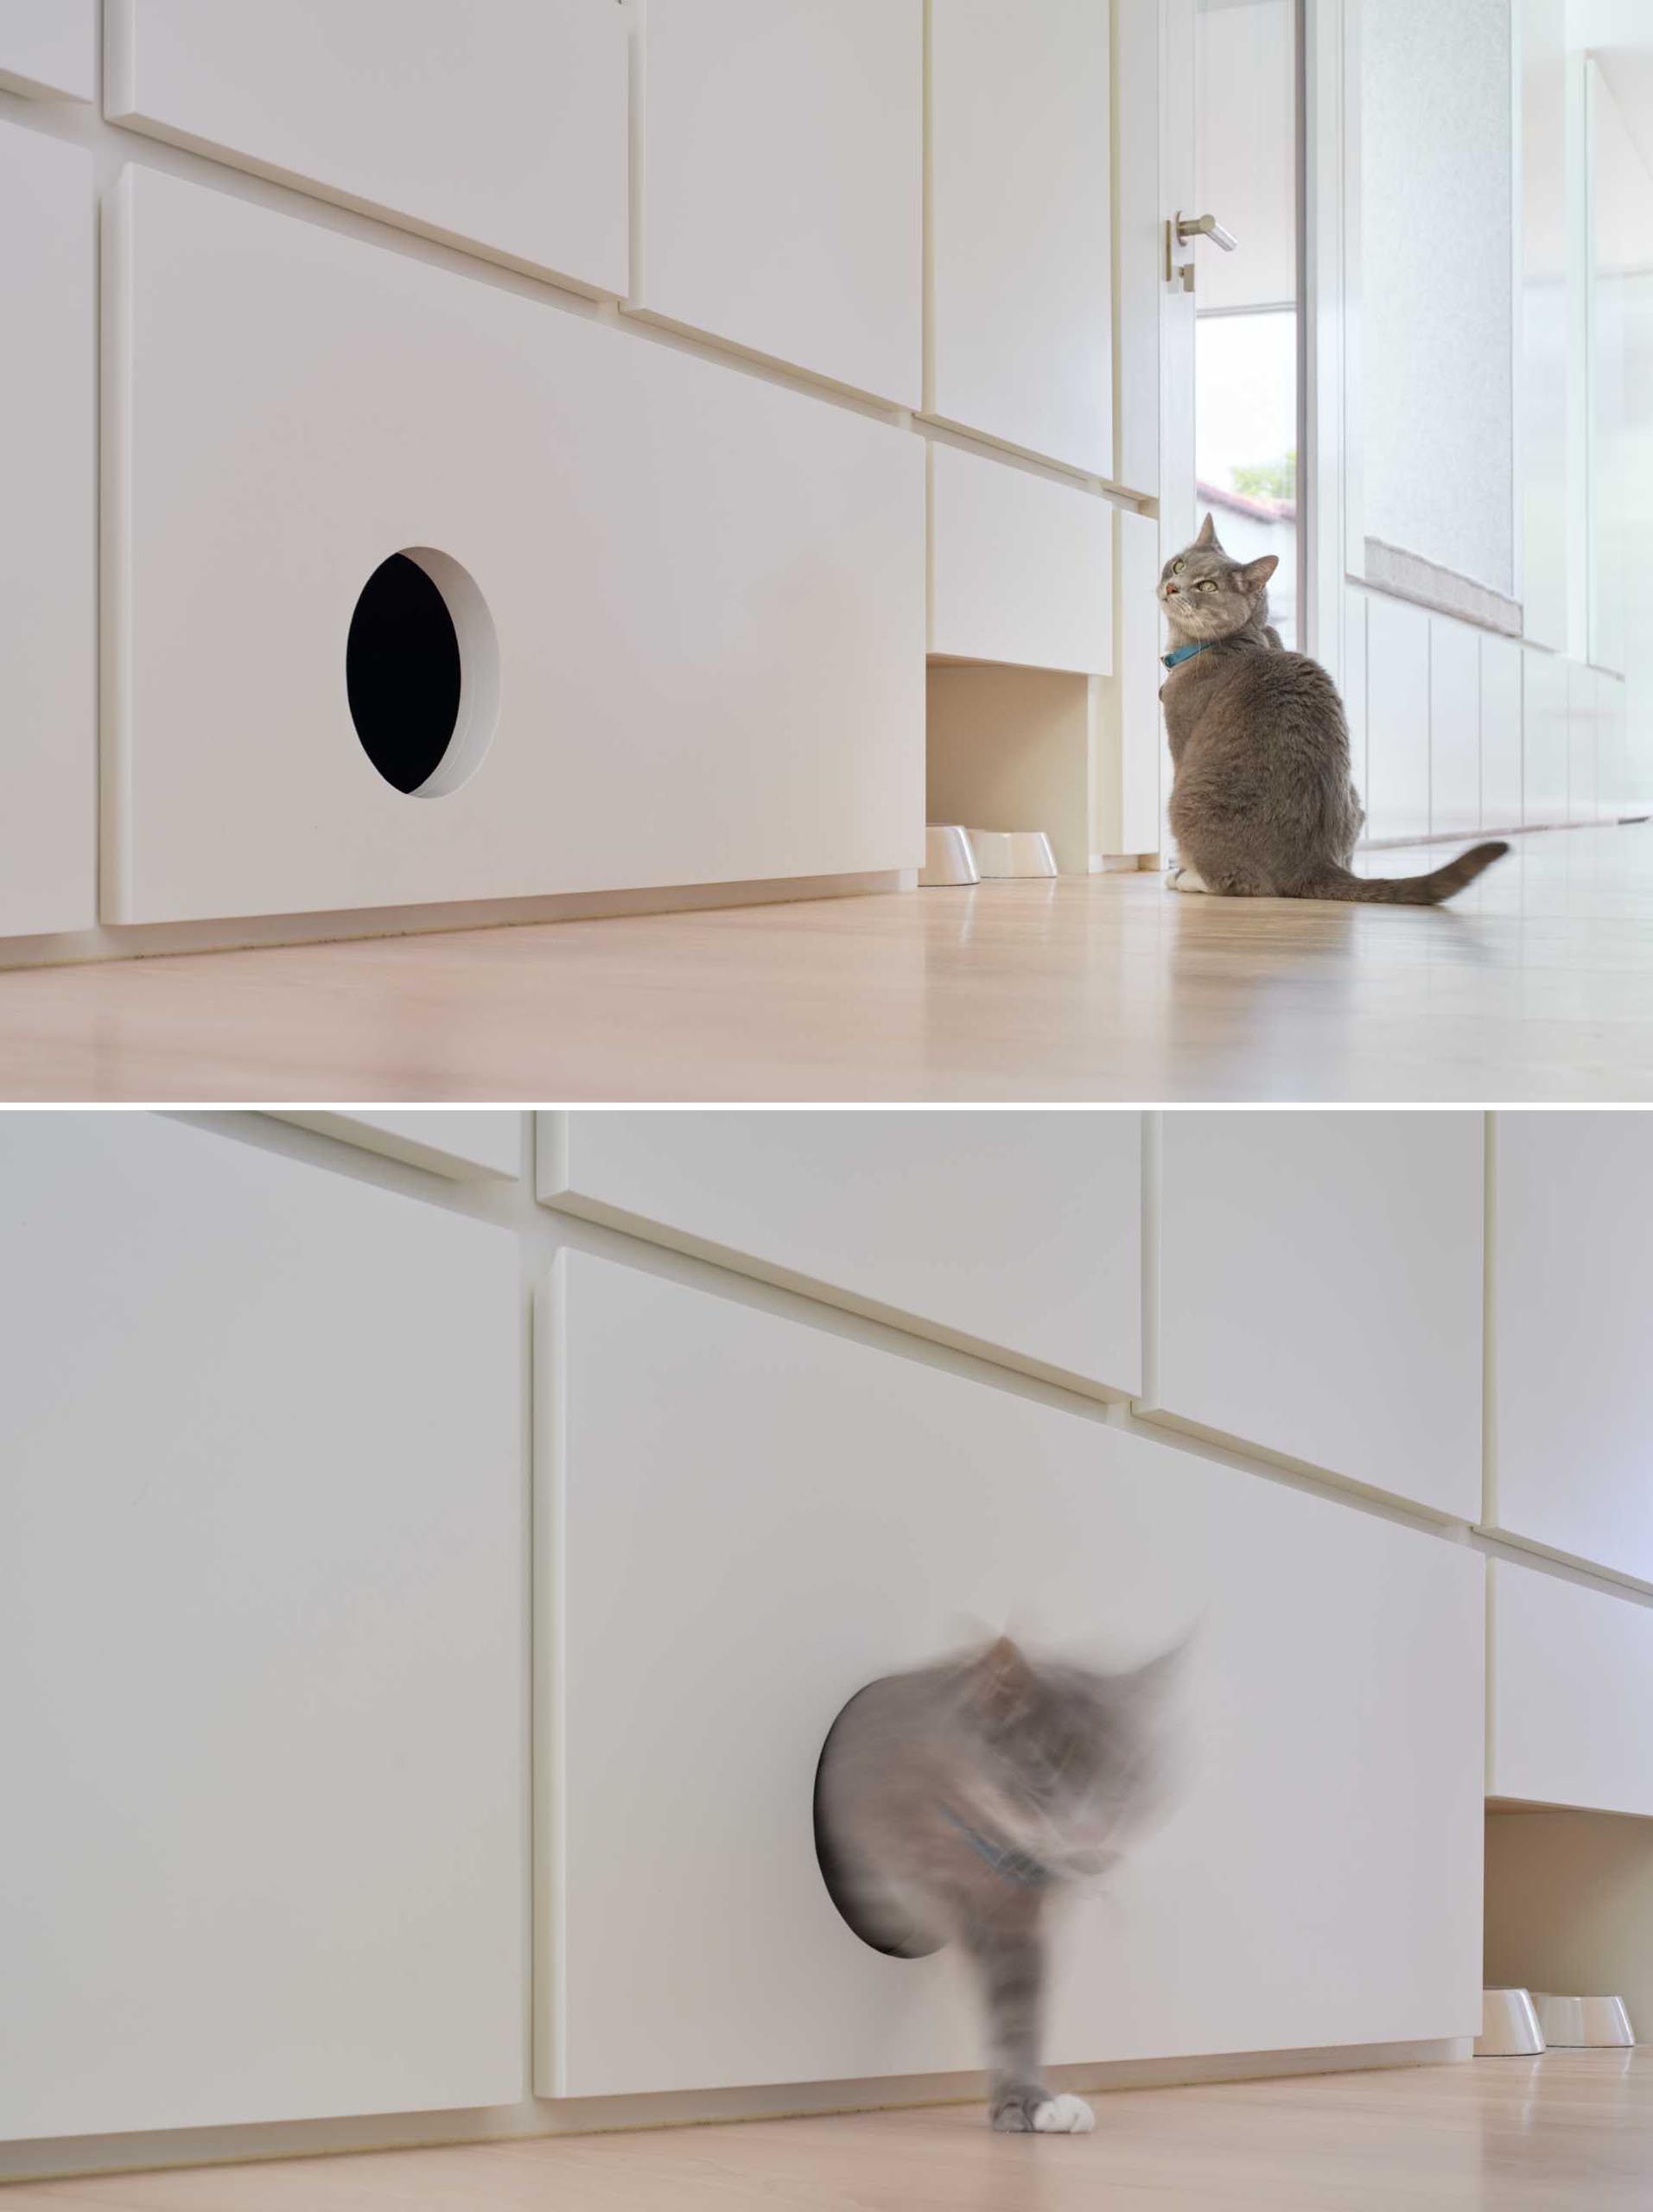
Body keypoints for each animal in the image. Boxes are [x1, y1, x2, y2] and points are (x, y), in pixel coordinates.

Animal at [814, 1637, 1177, 2132]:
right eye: (1044, 1772)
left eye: (1127, 1780)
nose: (1092, 1834)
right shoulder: (966, 1896)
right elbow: (1009, 2003)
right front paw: (1026, 2102)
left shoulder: (1019, 1916)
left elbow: (1019, 2005)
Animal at [1159, 512, 1513, 902]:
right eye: (1178, 565)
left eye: (1207, 586)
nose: (1172, 586)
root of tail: (1314, 861)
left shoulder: (1180, 740)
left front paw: (1179, 868)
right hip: (1355, 798)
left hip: (1186, 797)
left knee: (1243, 883)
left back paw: (1185, 879)